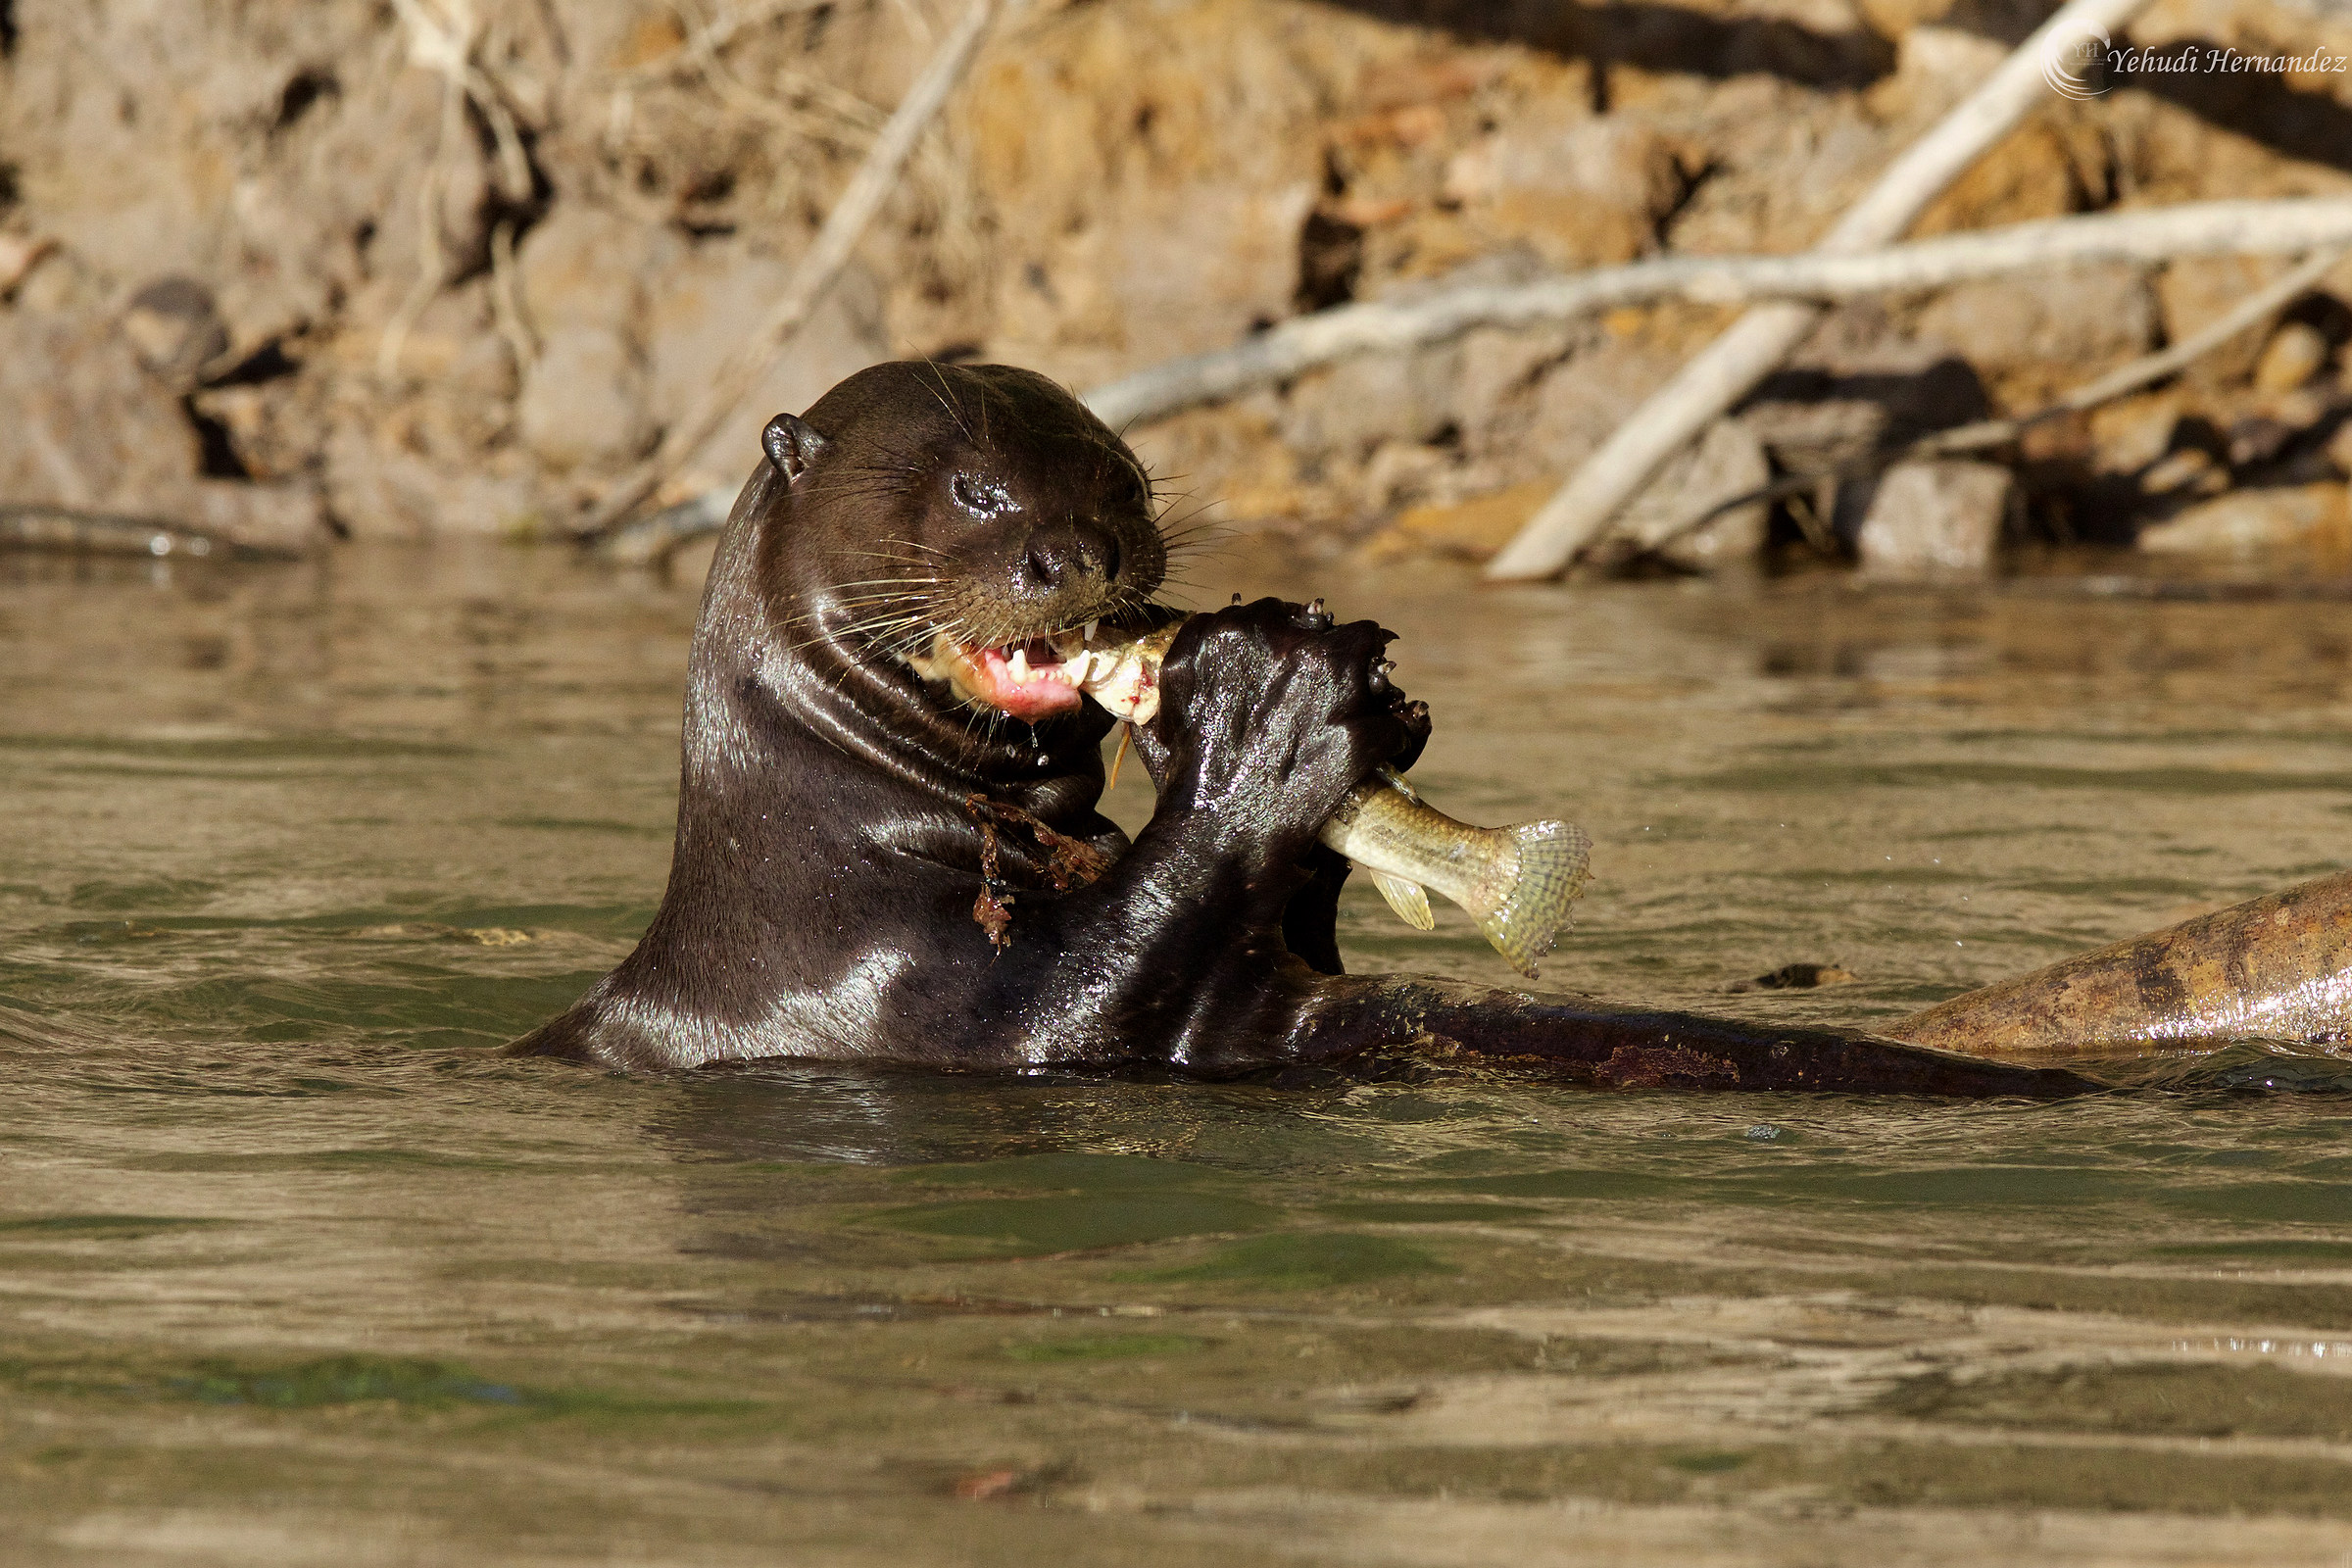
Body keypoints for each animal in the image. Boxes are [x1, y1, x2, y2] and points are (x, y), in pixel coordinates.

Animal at [513, 361, 2087, 1096]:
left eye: (1125, 484)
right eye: (977, 492)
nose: (1078, 555)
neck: (820, 841)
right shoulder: (864, 999)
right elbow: (1075, 1012)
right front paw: (1267, 712)